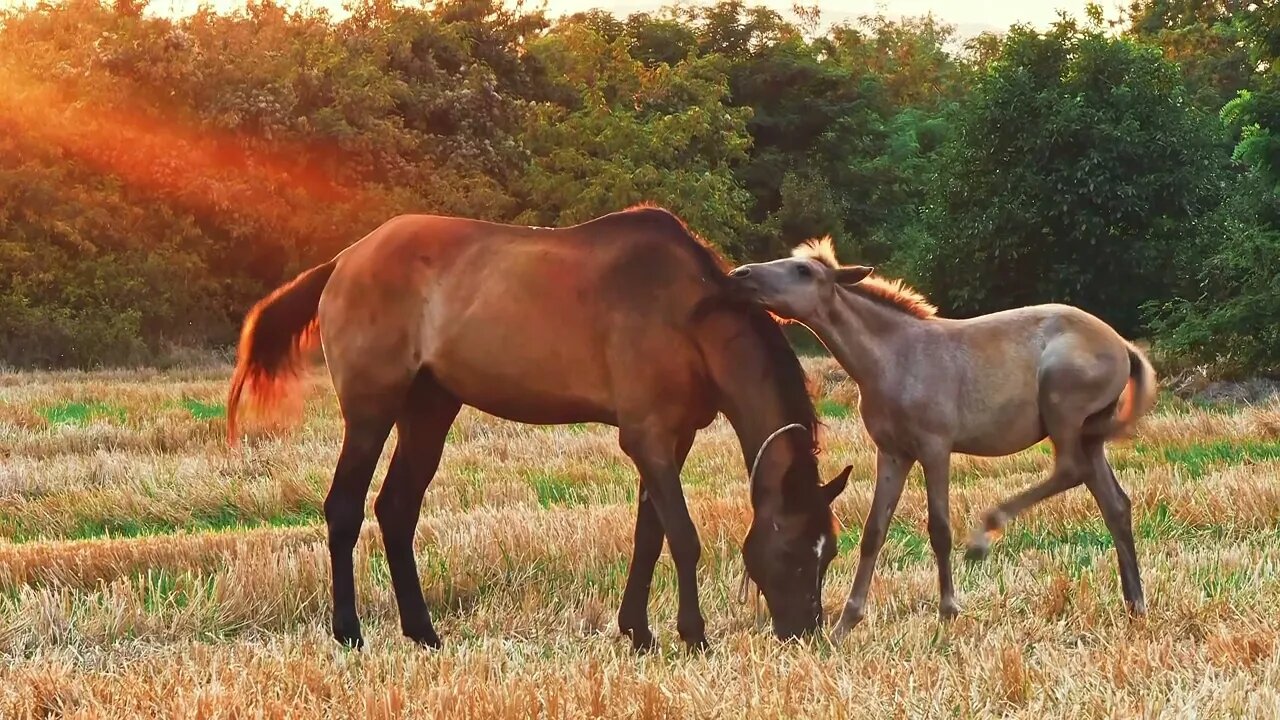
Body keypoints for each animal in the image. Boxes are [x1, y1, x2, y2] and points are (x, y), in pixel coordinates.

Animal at [227, 204, 849, 648]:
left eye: (831, 554)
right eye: (797, 551)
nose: (805, 633)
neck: (689, 317)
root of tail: (343, 260)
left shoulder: (674, 438)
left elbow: (648, 535)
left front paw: (637, 631)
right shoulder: (647, 435)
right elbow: (682, 536)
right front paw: (693, 636)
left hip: (429, 410)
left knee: (396, 510)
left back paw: (424, 633)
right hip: (371, 409)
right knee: (344, 508)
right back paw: (349, 632)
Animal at [732, 238, 1162, 635]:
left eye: (804, 271)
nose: (741, 274)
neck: (895, 357)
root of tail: (1122, 346)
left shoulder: (935, 448)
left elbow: (938, 528)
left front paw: (948, 611)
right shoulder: (893, 453)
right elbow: (874, 531)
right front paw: (846, 624)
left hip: (1063, 409)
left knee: (1069, 469)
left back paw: (984, 536)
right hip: (1092, 434)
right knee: (1115, 504)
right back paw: (1135, 604)